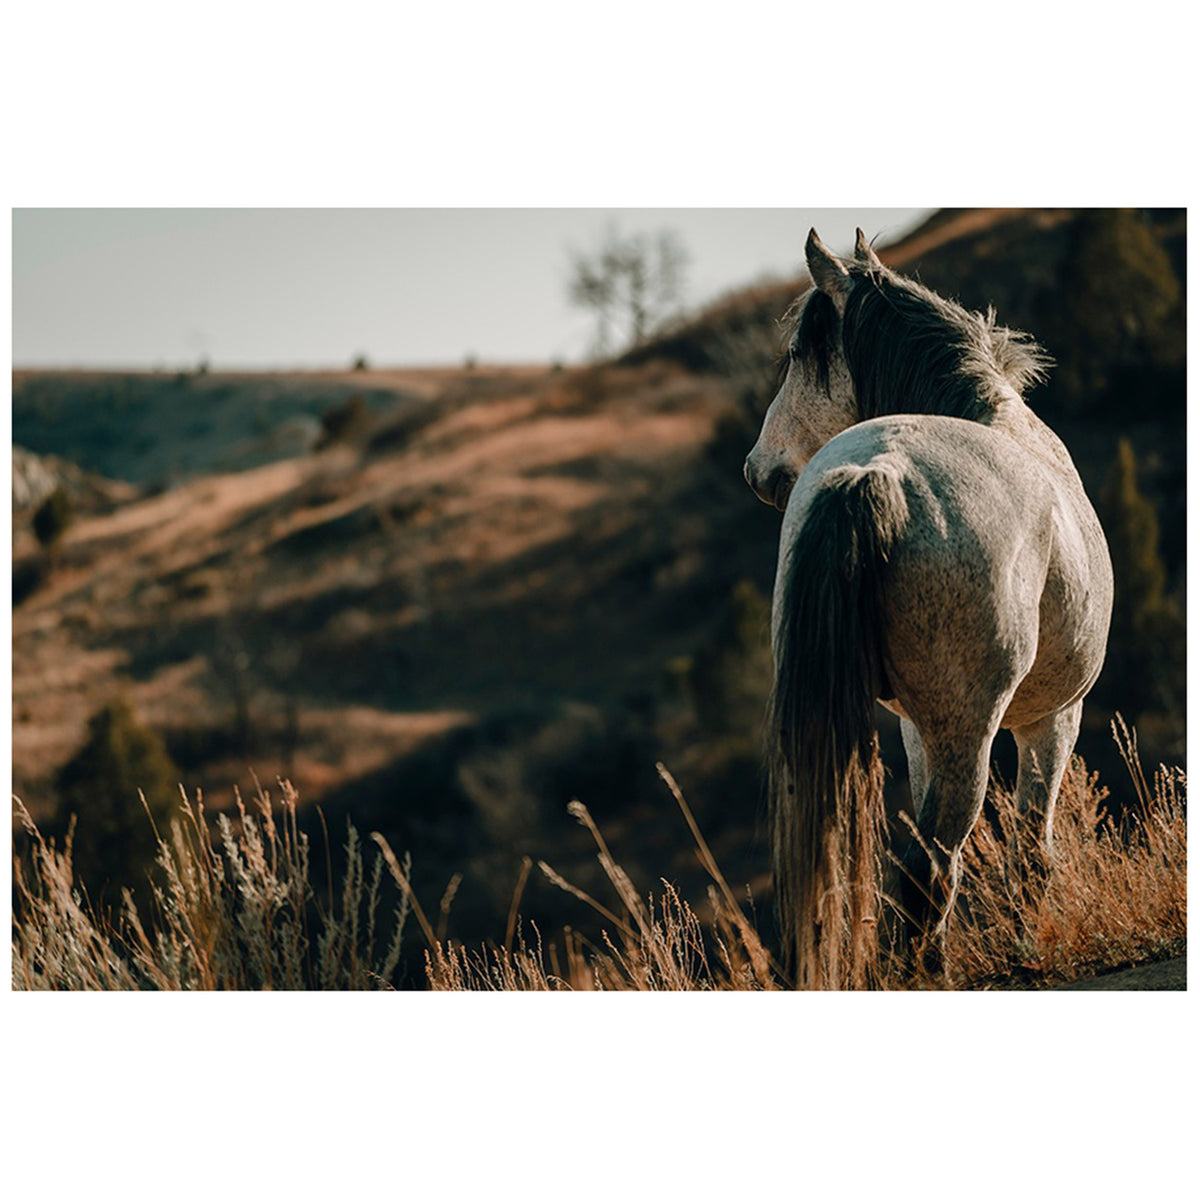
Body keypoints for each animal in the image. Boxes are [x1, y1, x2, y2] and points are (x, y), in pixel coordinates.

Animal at [744, 228, 1113, 988]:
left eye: (797, 356)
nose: (757, 470)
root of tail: (879, 472)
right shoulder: (1053, 718)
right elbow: (1031, 847)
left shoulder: (915, 727)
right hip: (966, 731)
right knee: (931, 866)